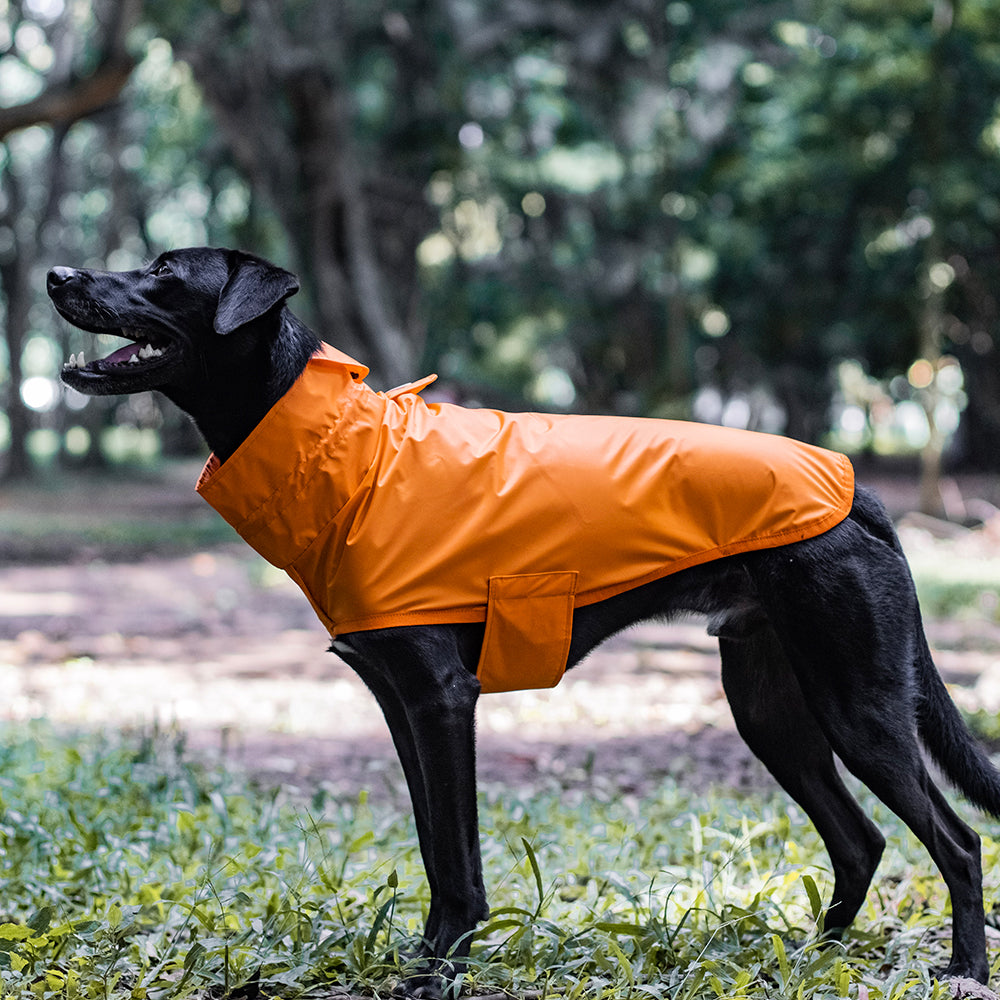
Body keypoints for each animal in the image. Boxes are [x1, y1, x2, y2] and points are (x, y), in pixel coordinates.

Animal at [50, 246, 1000, 996]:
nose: (57, 275)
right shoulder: (399, 703)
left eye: (165, 271)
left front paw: (437, 978)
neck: (345, 452)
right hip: (772, 710)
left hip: (857, 705)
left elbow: (458, 863)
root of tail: (850, 484)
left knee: (956, 843)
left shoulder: (441, 699)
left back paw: (963, 972)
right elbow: (436, 849)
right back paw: (812, 962)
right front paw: (431, 962)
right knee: (862, 842)